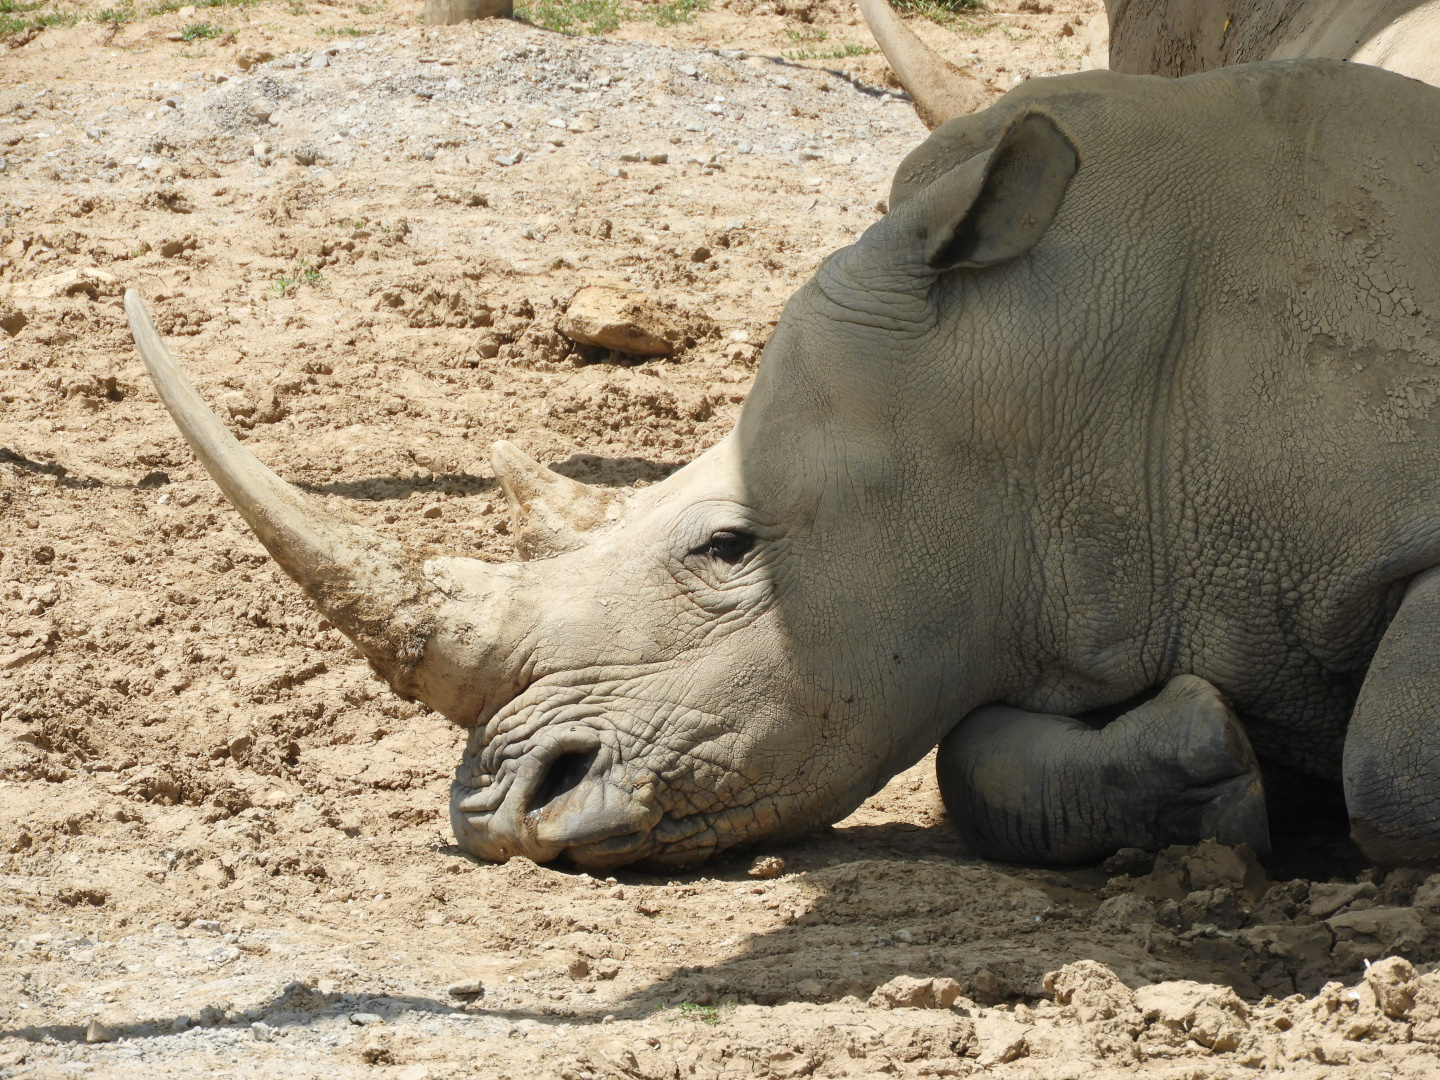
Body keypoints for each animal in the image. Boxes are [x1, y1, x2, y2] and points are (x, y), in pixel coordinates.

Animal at [126, 56, 1440, 869]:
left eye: (727, 547)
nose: (499, 815)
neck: (1081, 378)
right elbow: (971, 757)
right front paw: (1223, 771)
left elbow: (1387, 765)